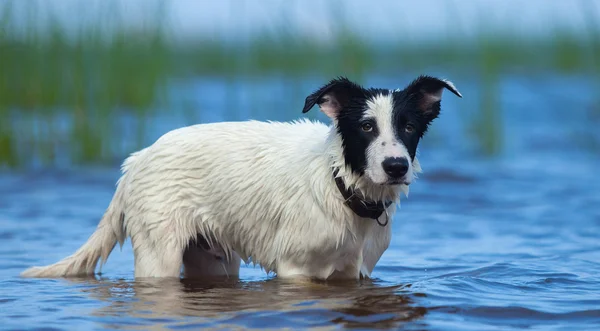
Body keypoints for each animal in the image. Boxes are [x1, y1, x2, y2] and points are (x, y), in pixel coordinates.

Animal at [21, 76, 462, 282]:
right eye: (366, 127)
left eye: (408, 127)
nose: (396, 166)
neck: (340, 185)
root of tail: (136, 160)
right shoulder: (295, 271)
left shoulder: (356, 272)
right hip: (158, 255)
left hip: (213, 260)